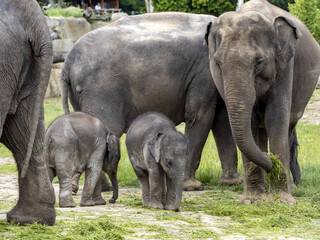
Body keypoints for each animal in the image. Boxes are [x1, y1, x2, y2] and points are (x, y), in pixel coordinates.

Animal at [60, 12, 242, 190]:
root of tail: (67, 63)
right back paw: (98, 188)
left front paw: (233, 182)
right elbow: (201, 116)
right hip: (100, 89)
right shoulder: (203, 72)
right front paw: (192, 186)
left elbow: (222, 119)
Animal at [205, 0, 320, 204]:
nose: (272, 162)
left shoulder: (285, 66)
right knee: (261, 131)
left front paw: (283, 201)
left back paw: (289, 187)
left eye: (259, 62)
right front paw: (252, 200)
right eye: (217, 63)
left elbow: (276, 116)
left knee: (287, 129)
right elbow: (249, 121)